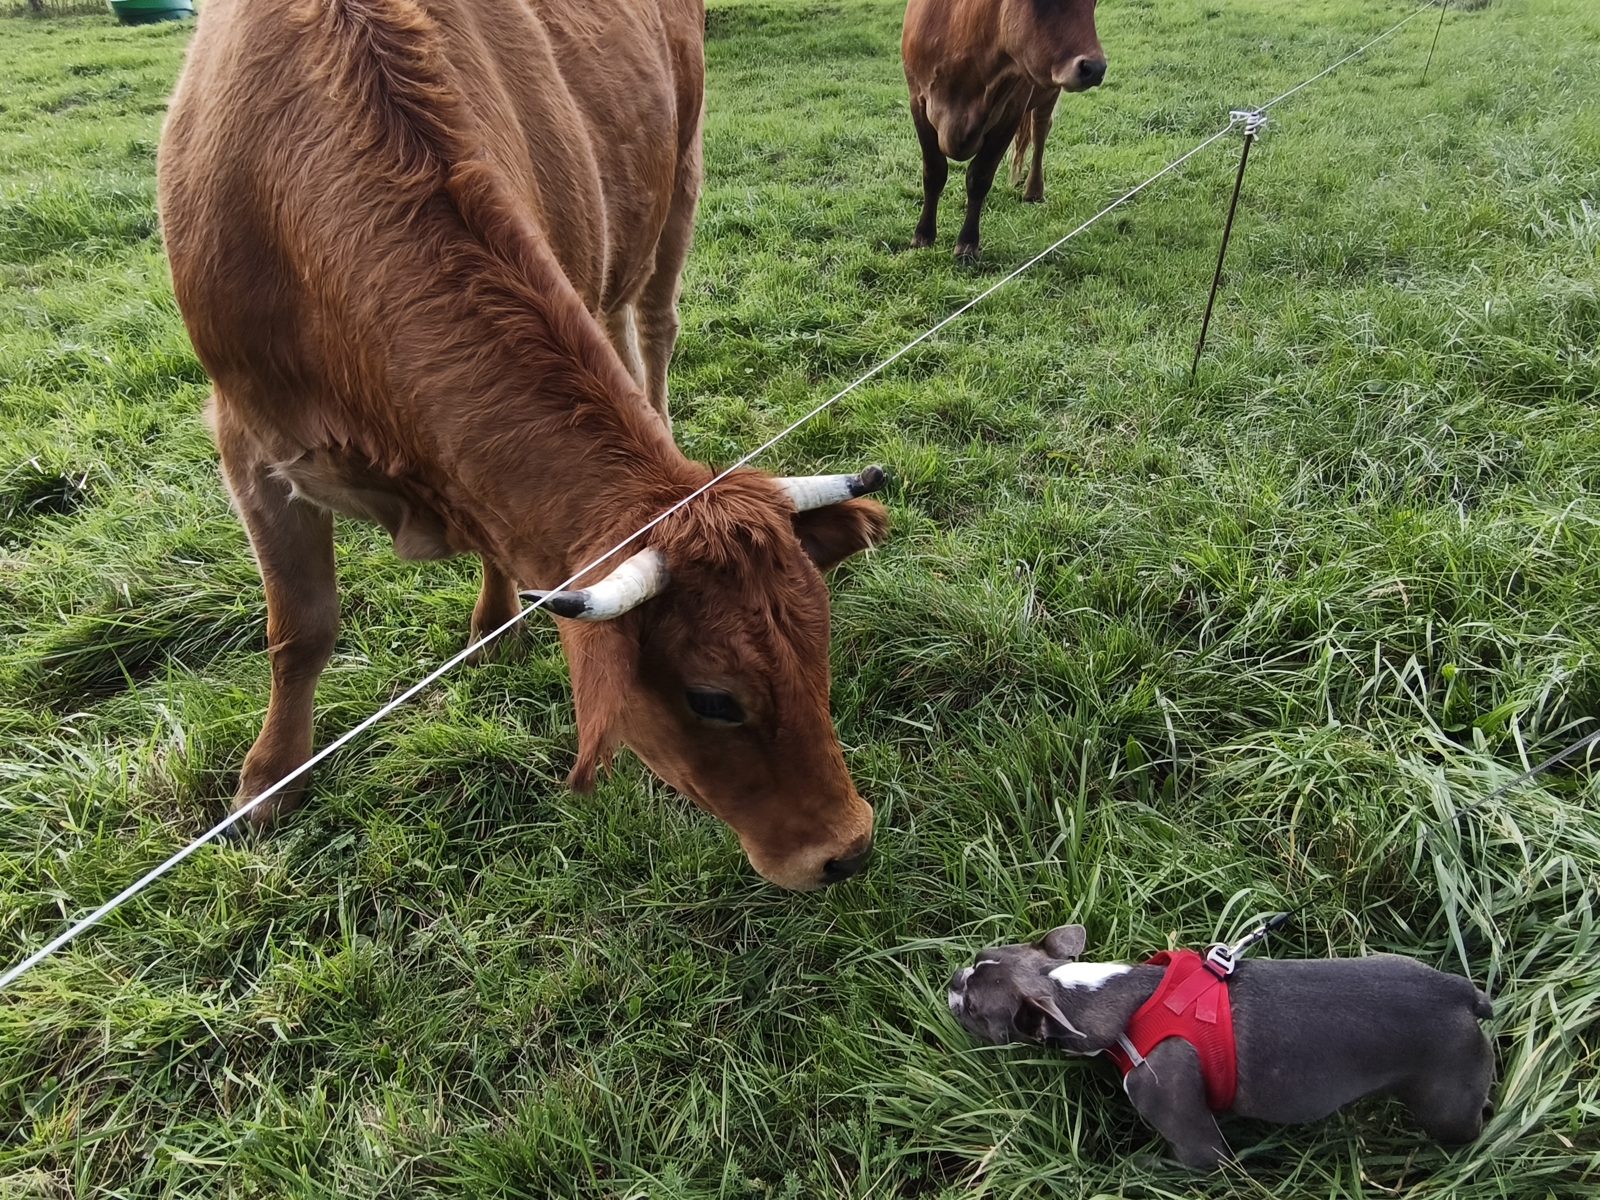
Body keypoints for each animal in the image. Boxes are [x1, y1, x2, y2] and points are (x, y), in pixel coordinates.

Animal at [157, 0, 890, 891]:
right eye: (713, 698)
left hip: (680, 178)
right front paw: (269, 783)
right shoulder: (247, 441)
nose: (849, 847)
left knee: (656, 326)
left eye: (819, 644)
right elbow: (301, 629)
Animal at [902, 0, 1107, 259]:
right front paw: (923, 236)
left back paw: (1033, 190)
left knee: (1040, 130)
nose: (1095, 68)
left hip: (1048, 91)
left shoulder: (1011, 111)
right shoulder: (918, 100)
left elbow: (979, 177)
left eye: (1094, 3)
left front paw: (967, 244)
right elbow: (934, 172)